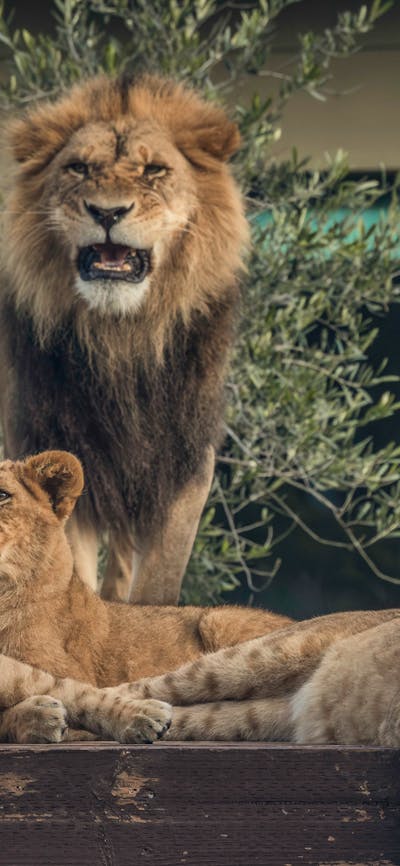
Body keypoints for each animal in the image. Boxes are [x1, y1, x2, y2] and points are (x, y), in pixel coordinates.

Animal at [0, 74, 249, 604]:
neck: (121, 338)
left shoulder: (183, 467)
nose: (107, 212)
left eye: (154, 170)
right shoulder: (54, 449)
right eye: (78, 167)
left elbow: (156, 587)